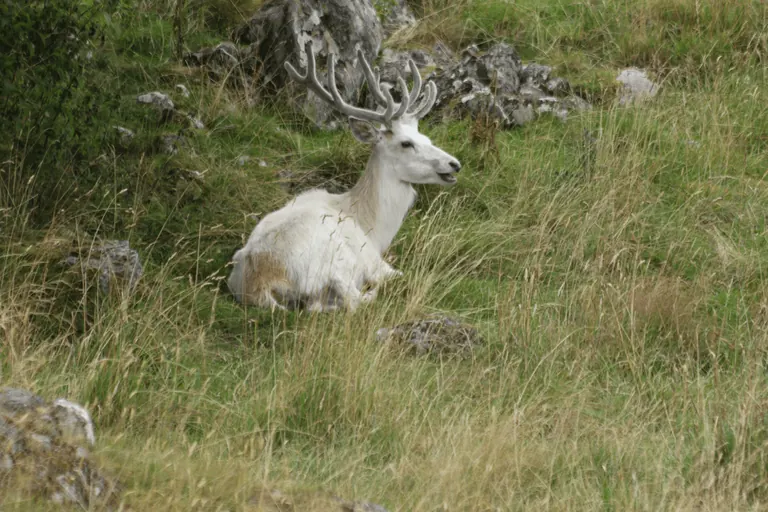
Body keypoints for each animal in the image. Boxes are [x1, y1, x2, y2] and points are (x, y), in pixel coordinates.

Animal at [226, 41, 461, 312]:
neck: (372, 227)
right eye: (406, 143)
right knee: (352, 301)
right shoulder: (373, 261)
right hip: (333, 265)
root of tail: (259, 281)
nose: (454, 164)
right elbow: (397, 276)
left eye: (427, 139)